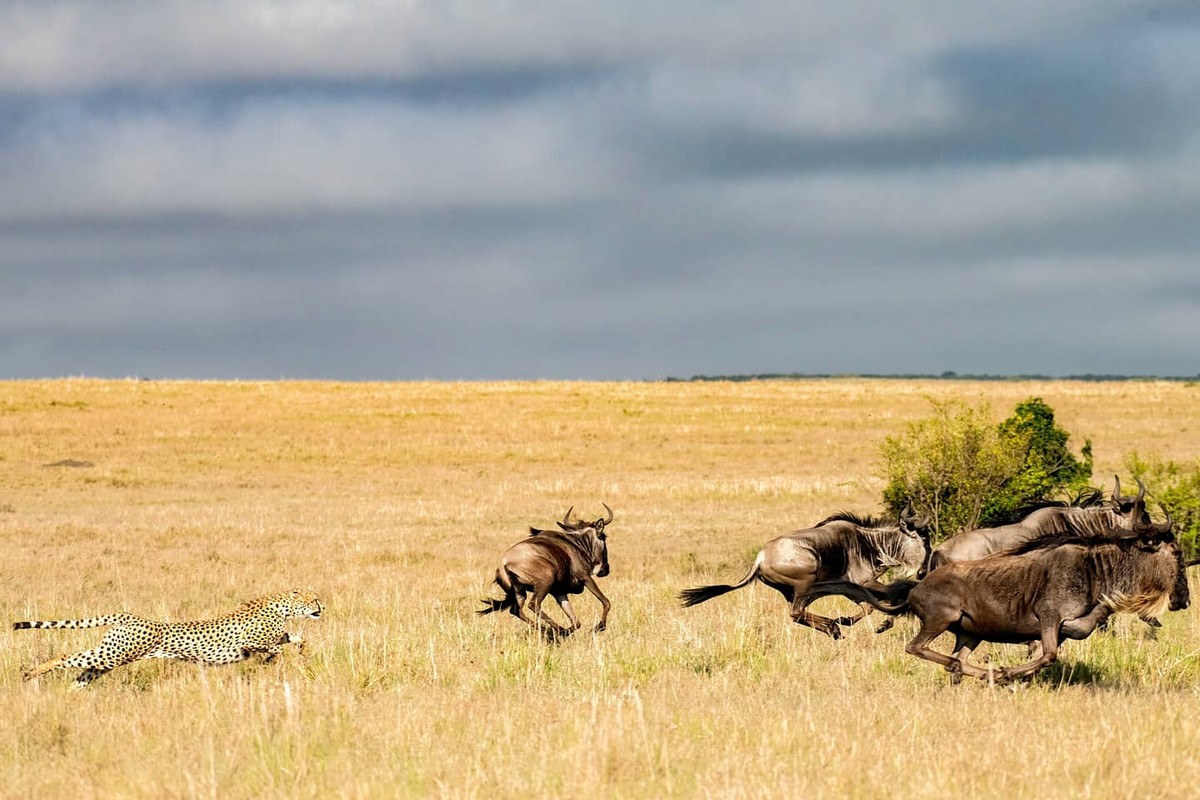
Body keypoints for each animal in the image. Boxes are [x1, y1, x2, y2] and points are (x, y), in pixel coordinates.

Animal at [16, 587, 324, 690]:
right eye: (314, 599)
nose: (322, 607)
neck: (282, 606)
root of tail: (129, 615)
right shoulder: (249, 643)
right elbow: (275, 647)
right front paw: (271, 660)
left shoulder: (279, 633)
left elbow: (294, 638)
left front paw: (303, 650)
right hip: (113, 654)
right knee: (65, 657)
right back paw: (30, 674)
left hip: (109, 658)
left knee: (81, 677)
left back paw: (67, 698)